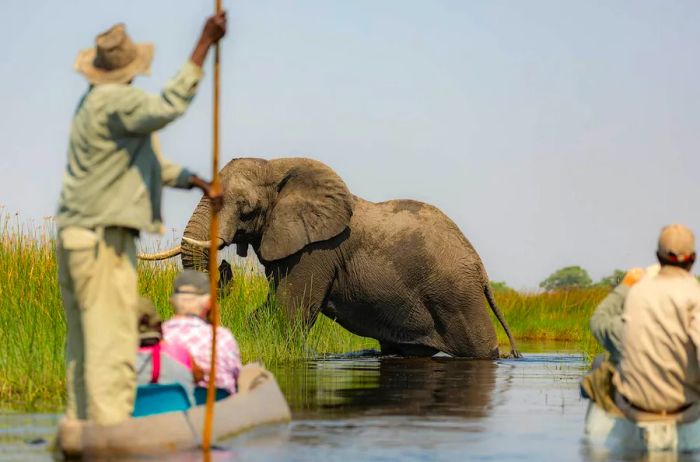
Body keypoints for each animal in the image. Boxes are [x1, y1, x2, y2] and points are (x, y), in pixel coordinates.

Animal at [141, 157, 520, 360]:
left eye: (246, 208)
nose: (224, 266)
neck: (277, 166)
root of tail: (481, 269)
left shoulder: (316, 252)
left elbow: (291, 312)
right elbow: (269, 308)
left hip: (457, 295)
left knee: (480, 349)